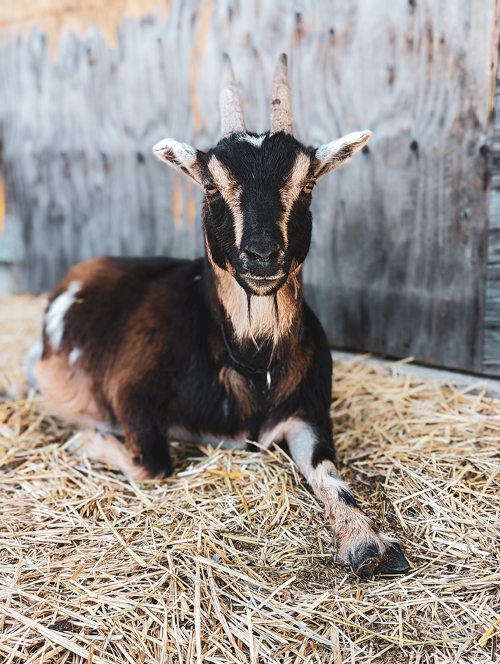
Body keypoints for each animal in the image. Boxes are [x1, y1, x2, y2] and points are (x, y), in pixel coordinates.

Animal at [24, 54, 409, 578]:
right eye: (209, 186)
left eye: (308, 184)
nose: (263, 255)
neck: (251, 363)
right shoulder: (130, 391)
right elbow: (153, 465)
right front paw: (84, 443)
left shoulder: (308, 412)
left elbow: (330, 470)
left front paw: (367, 542)